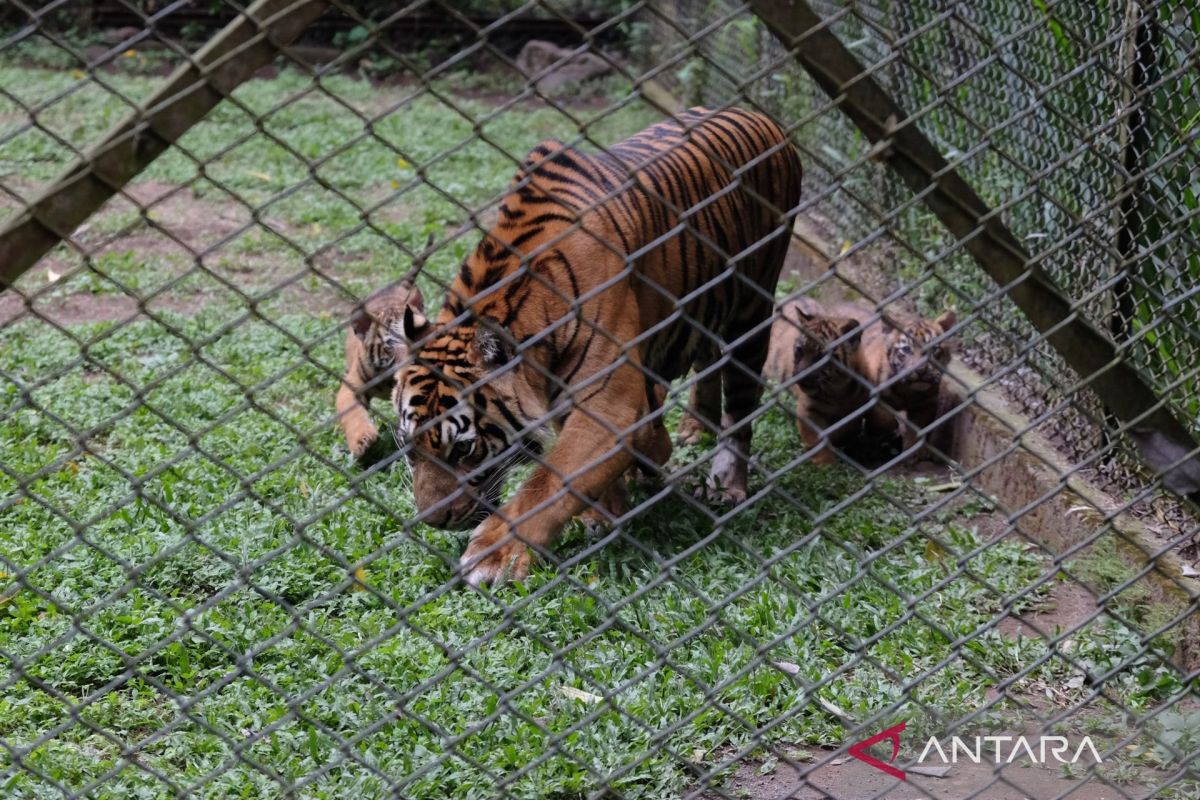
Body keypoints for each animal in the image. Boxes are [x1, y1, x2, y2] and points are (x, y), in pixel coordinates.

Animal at [390, 107, 802, 586]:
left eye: (463, 449)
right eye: (409, 448)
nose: (433, 521)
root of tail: (759, 114)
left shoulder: (610, 403)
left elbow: (553, 480)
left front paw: (495, 554)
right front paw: (608, 510)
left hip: (753, 308)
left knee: (741, 406)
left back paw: (726, 484)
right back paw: (692, 426)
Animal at [764, 297, 869, 465]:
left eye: (821, 357)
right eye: (799, 350)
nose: (800, 376)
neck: (837, 391)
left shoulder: (855, 410)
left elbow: (846, 430)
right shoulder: (808, 412)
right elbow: (816, 440)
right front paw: (826, 464)